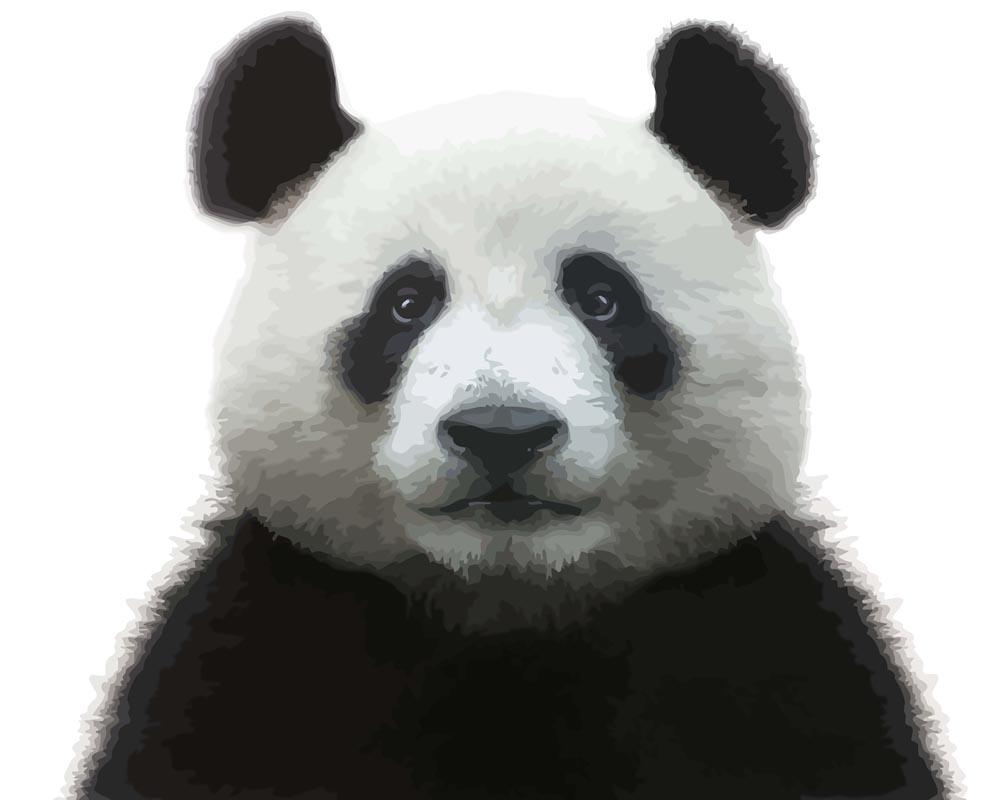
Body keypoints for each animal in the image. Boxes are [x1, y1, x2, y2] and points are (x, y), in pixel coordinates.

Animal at [74, 15, 950, 800]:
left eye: (602, 298)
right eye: (407, 303)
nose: (501, 434)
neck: (507, 618)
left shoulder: (769, 666)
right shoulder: (252, 657)